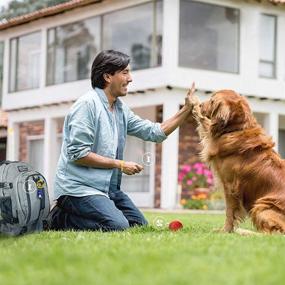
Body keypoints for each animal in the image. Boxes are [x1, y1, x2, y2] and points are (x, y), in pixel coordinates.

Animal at [190, 89, 284, 233]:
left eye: (212, 100)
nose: (201, 105)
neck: (236, 129)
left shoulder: (230, 185)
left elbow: (229, 212)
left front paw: (225, 230)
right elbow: (206, 124)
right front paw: (194, 104)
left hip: (262, 205)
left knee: (272, 233)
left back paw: (245, 232)